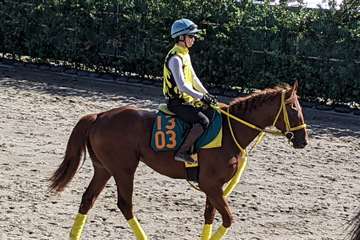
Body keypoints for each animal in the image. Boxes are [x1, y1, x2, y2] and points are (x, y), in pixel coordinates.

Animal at [48, 81, 306, 240]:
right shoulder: (211, 185)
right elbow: (228, 219)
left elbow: (210, 216)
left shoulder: (214, 187)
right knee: (125, 205)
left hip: (104, 169)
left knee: (87, 200)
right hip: (124, 170)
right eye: (293, 108)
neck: (230, 131)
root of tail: (99, 115)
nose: (303, 140)